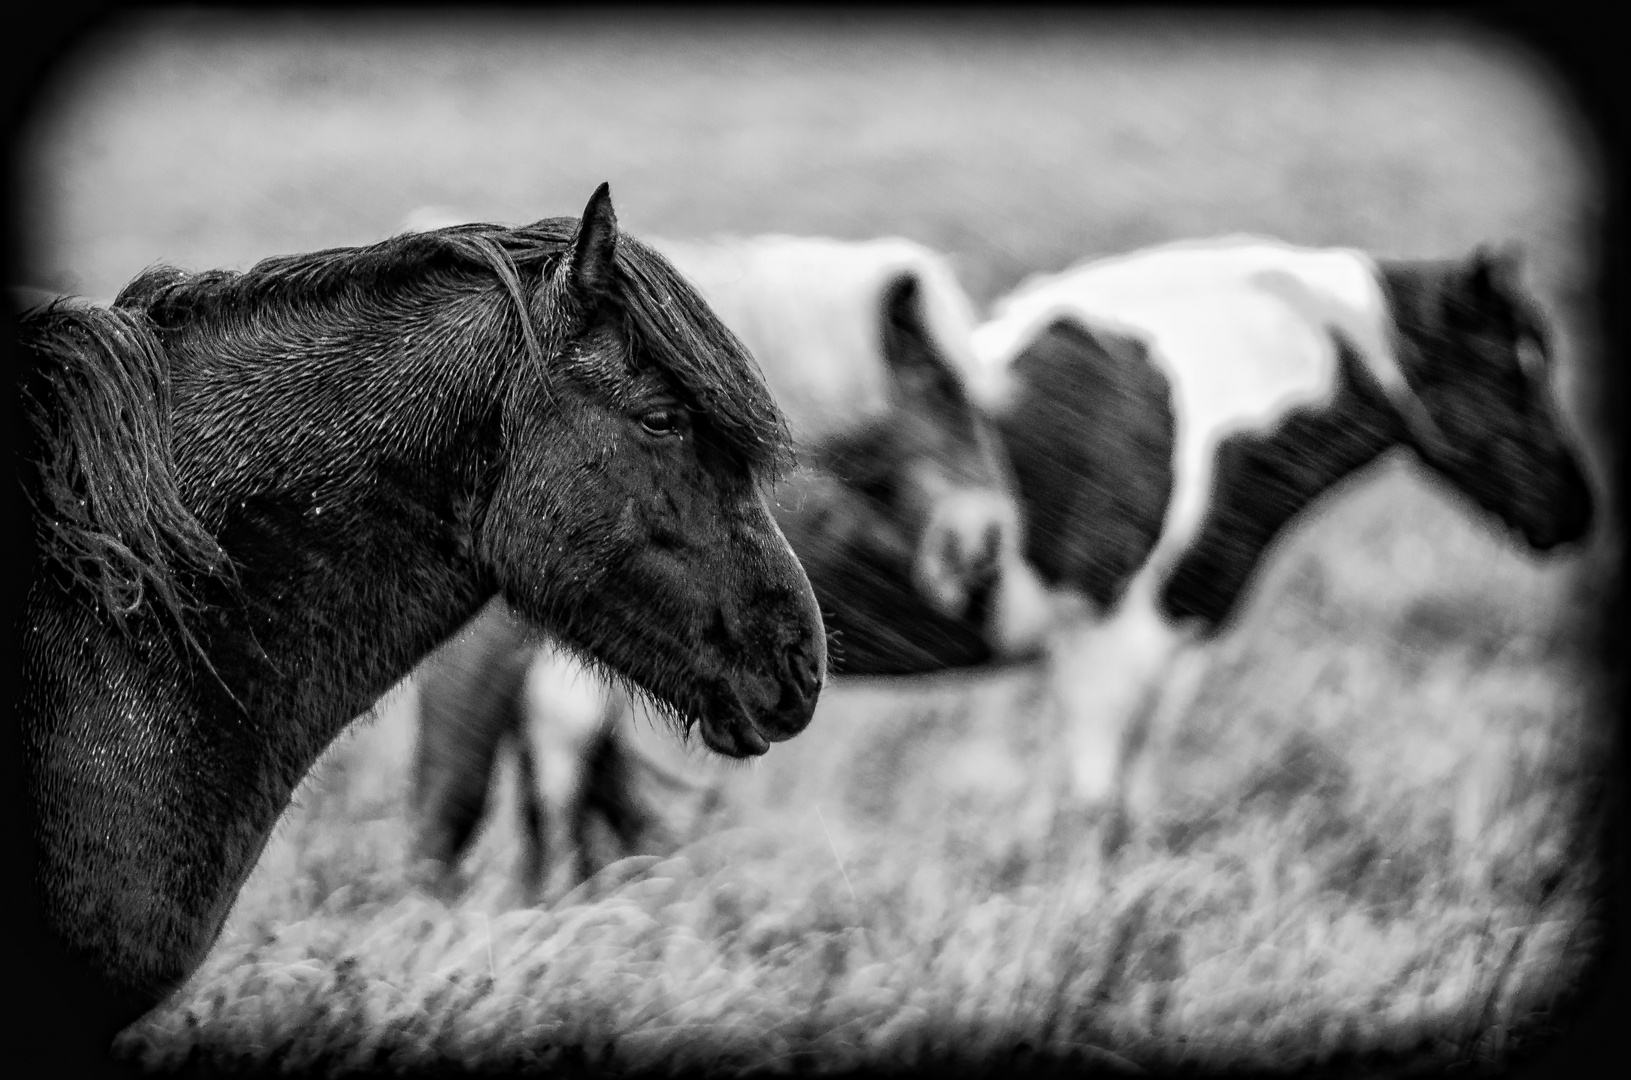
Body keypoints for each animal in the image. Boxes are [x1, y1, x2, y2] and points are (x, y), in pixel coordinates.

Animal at [965, 239, 1591, 828]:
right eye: (1508, 369)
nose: (1573, 509)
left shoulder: (1178, 637)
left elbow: (1132, 798)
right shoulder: (1111, 645)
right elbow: (1092, 813)